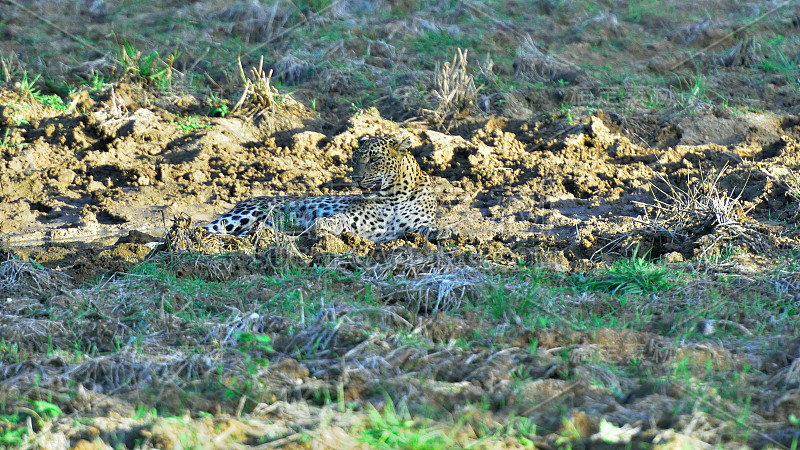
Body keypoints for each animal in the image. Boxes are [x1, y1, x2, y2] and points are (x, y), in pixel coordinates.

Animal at [202, 134, 438, 243]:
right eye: (354, 159)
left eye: (374, 159)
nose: (355, 178)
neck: (394, 196)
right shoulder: (355, 218)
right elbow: (339, 218)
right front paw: (322, 224)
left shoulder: (411, 227)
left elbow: (426, 229)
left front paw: (441, 232)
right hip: (245, 214)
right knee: (208, 227)